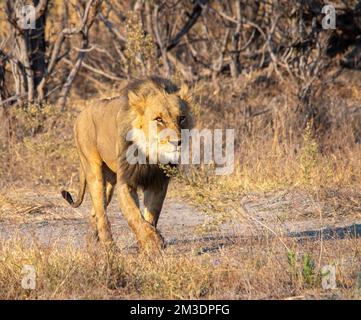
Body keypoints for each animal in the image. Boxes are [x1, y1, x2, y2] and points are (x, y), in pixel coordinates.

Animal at [60, 76, 193, 251]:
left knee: (96, 210)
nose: (177, 142)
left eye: (181, 118)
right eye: (159, 119)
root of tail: (82, 112)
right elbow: (135, 216)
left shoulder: (158, 183)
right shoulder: (127, 182)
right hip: (93, 168)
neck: (150, 154)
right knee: (101, 210)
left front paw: (147, 247)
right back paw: (109, 245)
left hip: (110, 181)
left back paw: (90, 242)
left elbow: (151, 216)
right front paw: (154, 241)